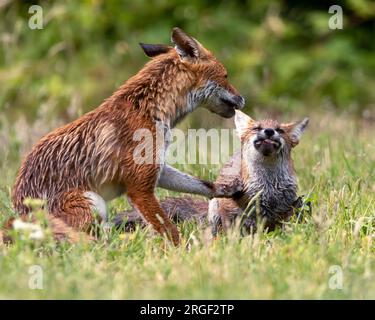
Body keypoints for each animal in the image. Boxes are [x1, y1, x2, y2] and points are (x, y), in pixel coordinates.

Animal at [8, 28, 247, 245]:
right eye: (226, 75)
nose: (242, 99)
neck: (150, 109)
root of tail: (19, 215)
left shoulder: (157, 168)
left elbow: (201, 185)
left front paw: (227, 189)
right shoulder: (139, 188)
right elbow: (169, 230)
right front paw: (184, 253)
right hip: (94, 203)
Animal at [116, 110, 310, 235]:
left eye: (280, 131)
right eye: (257, 128)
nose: (268, 131)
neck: (268, 187)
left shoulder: (283, 208)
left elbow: (281, 224)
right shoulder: (230, 207)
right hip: (214, 208)